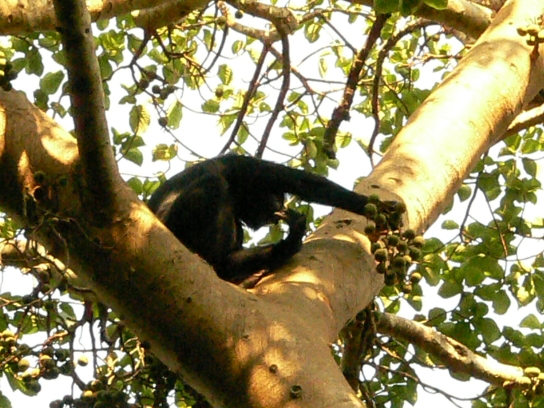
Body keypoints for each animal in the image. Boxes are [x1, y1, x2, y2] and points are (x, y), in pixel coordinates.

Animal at [148, 155, 395, 282]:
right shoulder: (240, 165)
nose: (275, 217)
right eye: (275, 203)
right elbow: (302, 182)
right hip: (176, 223)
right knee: (212, 183)